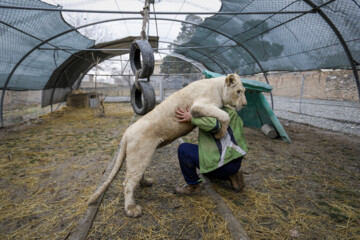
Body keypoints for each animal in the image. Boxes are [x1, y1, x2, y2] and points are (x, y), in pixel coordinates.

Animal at [88, 73, 249, 218]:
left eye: (243, 91)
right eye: (238, 91)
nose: (245, 104)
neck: (219, 88)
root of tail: (126, 133)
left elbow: (224, 115)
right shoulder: (199, 106)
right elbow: (225, 115)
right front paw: (220, 134)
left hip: (141, 156)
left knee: (136, 176)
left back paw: (146, 183)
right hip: (139, 156)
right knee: (127, 183)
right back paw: (132, 209)